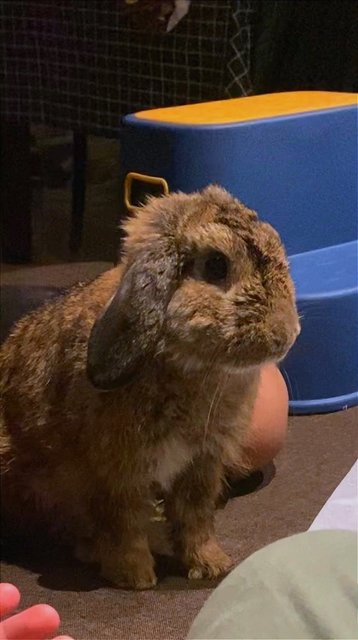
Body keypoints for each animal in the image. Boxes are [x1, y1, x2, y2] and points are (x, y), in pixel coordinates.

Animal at [0, 184, 300, 584]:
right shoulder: (116, 472)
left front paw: (211, 565)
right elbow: (123, 525)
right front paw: (136, 577)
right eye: (216, 265)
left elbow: (195, 518)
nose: (286, 334)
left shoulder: (201, 466)